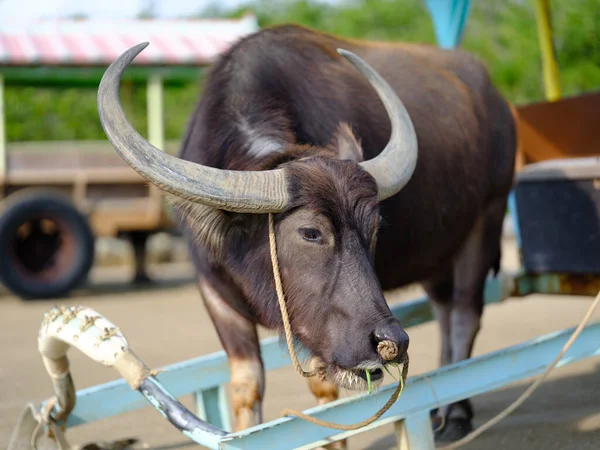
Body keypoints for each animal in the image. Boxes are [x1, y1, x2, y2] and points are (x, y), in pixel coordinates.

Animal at [97, 23, 516, 442]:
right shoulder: (214, 294)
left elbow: (325, 396)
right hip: (440, 254)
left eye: (374, 227)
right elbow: (246, 386)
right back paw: (441, 408)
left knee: (464, 315)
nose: (391, 341)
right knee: (444, 310)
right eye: (311, 232)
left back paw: (457, 414)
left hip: (488, 217)